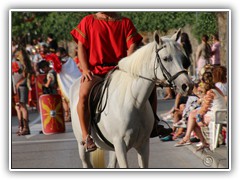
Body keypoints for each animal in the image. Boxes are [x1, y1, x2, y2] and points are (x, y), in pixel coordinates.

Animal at [69, 29, 193, 167]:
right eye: (166, 58)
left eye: (183, 58)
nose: (187, 85)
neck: (134, 103)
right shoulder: (120, 146)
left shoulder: (143, 145)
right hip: (83, 148)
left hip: (112, 148)